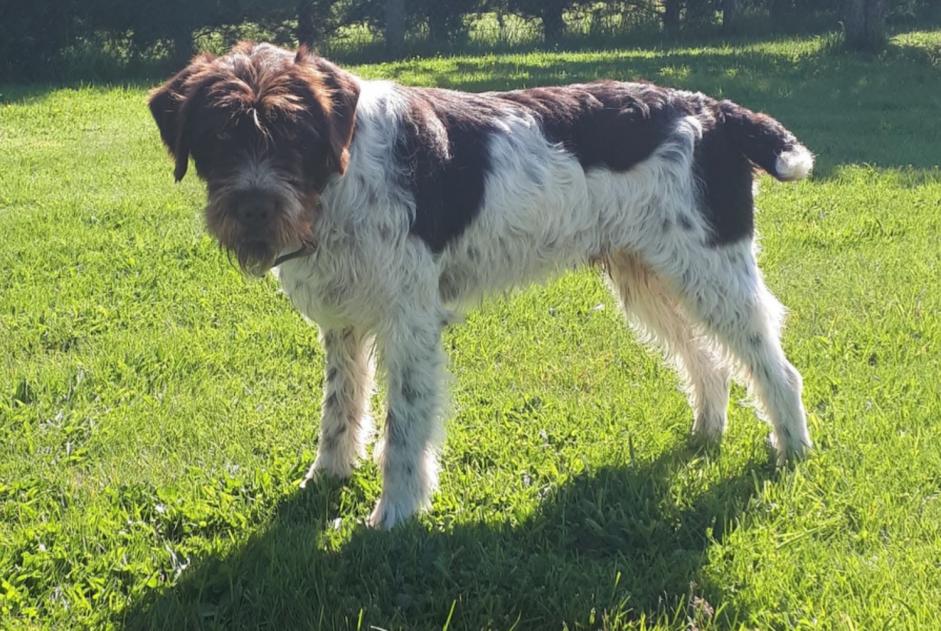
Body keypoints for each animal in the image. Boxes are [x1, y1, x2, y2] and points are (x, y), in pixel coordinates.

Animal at [151, 42, 812, 532]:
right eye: (219, 137)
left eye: (292, 132)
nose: (254, 209)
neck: (341, 175)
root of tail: (715, 111)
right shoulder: (345, 321)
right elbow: (340, 410)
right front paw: (325, 480)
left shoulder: (409, 323)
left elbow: (403, 428)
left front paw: (393, 518)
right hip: (650, 275)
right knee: (710, 361)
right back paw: (705, 435)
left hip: (711, 270)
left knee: (776, 368)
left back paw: (794, 453)